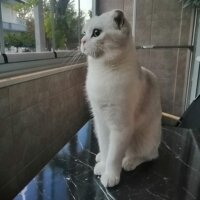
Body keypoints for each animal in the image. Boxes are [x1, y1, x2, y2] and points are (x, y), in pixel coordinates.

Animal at [80, 9, 162, 188]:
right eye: (83, 33)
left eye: (96, 33)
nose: (82, 41)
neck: (101, 71)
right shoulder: (101, 122)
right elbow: (106, 149)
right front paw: (102, 167)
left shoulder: (120, 128)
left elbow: (113, 157)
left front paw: (109, 177)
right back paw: (99, 158)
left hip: (141, 139)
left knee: (147, 155)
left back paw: (128, 162)